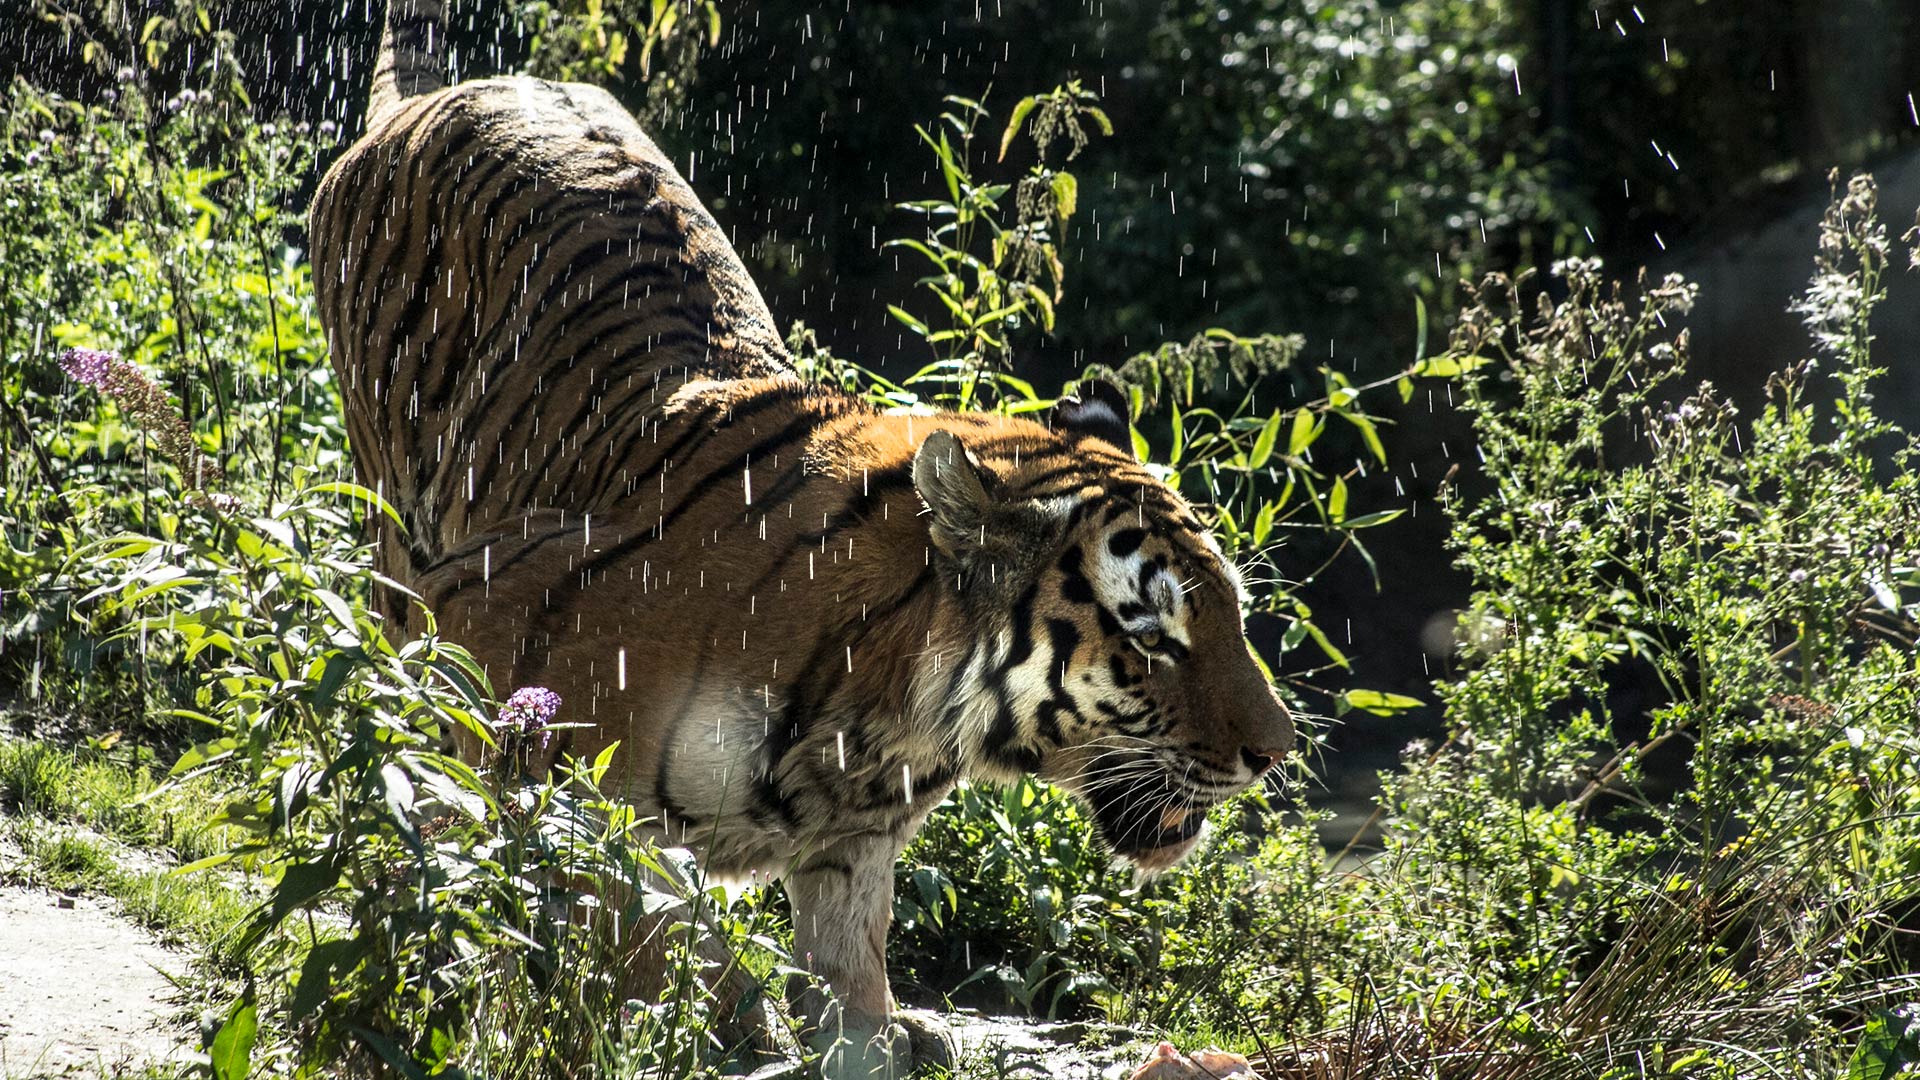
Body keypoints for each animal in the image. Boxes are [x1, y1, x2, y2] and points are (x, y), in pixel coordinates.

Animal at [311, 0, 1290, 1068]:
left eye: (1235, 614)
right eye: (1150, 633)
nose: (1276, 755)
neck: (887, 717)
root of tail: (449, 91)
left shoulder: (852, 849)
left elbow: (847, 980)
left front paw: (865, 1032)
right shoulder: (505, 656)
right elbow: (640, 927)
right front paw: (670, 1026)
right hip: (400, 553)